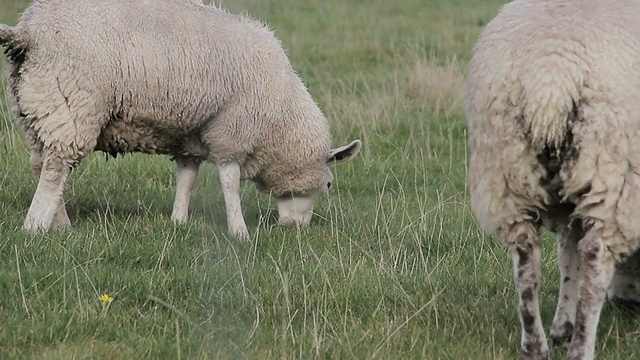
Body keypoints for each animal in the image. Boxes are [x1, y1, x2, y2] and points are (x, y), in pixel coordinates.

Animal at [0, 0, 360, 240]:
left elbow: (186, 180)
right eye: (328, 184)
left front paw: (178, 222)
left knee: (41, 164)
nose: (296, 229)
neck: (280, 117)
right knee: (54, 171)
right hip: (74, 104)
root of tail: (28, 31)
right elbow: (229, 183)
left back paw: (60, 224)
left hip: (37, 106)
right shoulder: (231, 131)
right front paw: (239, 231)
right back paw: (36, 227)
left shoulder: (190, 139)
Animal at [464, 0, 640, 360]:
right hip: (612, 173)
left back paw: (536, 344)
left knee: (526, 256)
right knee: (595, 258)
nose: (627, 305)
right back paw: (581, 347)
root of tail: (550, 73)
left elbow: (567, 254)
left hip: (506, 170)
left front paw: (562, 325)